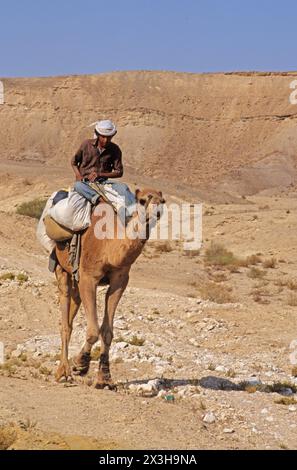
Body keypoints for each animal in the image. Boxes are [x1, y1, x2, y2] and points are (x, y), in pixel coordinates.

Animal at [53, 185, 164, 388]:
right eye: (142, 200)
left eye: (163, 201)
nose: (157, 211)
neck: (110, 247)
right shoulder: (88, 277)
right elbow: (93, 330)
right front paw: (80, 363)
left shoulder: (120, 282)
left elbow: (107, 332)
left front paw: (104, 377)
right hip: (62, 268)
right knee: (65, 318)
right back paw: (63, 372)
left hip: (75, 278)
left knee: (73, 308)